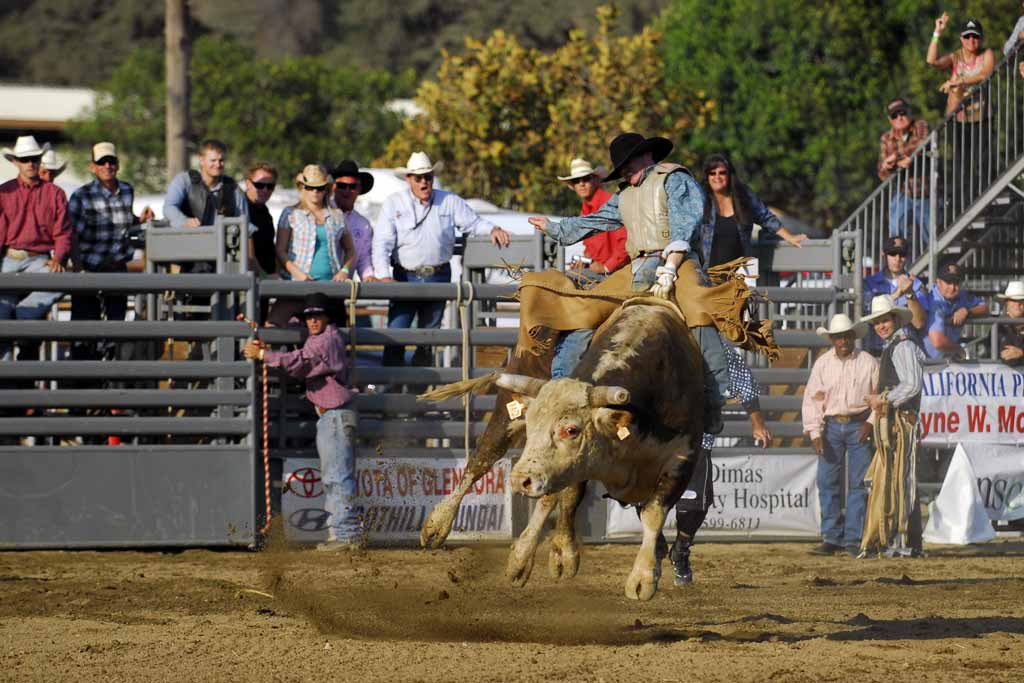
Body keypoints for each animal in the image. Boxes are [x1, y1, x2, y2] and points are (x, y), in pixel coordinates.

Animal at [417, 301, 704, 602]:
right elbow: (568, 496)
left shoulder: (683, 458)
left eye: (571, 429)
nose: (519, 480)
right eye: (531, 423)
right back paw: (439, 526)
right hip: (507, 414)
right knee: (481, 462)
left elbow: (653, 513)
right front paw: (560, 553)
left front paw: (643, 577)